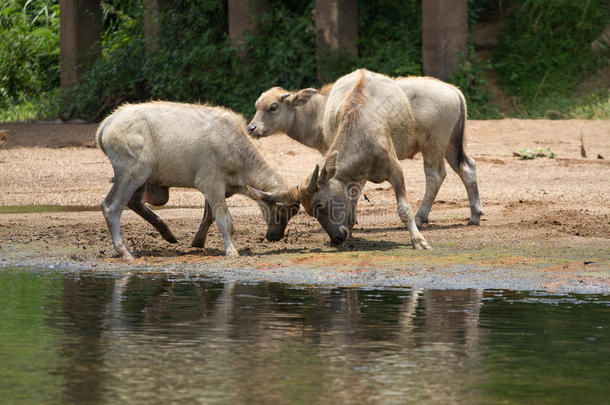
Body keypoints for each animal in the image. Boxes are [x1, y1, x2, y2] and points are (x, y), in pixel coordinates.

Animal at [94, 102, 300, 258]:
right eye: (281, 213)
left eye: (292, 214)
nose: (275, 237)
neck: (236, 149)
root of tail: (108, 122)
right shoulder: (211, 184)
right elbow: (225, 220)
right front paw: (232, 251)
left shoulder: (220, 188)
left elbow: (208, 216)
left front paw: (198, 241)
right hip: (133, 174)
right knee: (111, 207)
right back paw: (125, 252)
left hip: (141, 178)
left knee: (134, 203)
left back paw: (167, 233)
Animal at [246, 72, 480, 224]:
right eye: (256, 106)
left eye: (273, 107)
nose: (251, 128)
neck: (320, 110)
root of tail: (453, 90)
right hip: (450, 145)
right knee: (467, 168)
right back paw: (475, 214)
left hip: (433, 146)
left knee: (435, 176)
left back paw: (421, 216)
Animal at [298, 70, 430, 249]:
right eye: (309, 212)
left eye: (318, 204)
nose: (336, 238)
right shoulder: (355, 178)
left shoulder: (395, 171)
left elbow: (404, 209)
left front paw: (418, 241)